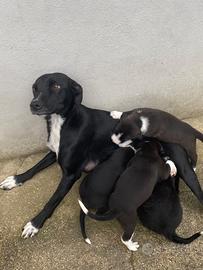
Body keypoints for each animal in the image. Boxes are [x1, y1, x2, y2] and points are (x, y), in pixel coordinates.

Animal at [0, 72, 203, 238]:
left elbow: (53, 199)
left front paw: (35, 223)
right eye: (35, 87)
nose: (34, 104)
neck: (63, 121)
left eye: (56, 86)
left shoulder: (71, 174)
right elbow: (34, 168)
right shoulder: (53, 153)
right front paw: (15, 179)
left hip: (184, 167)